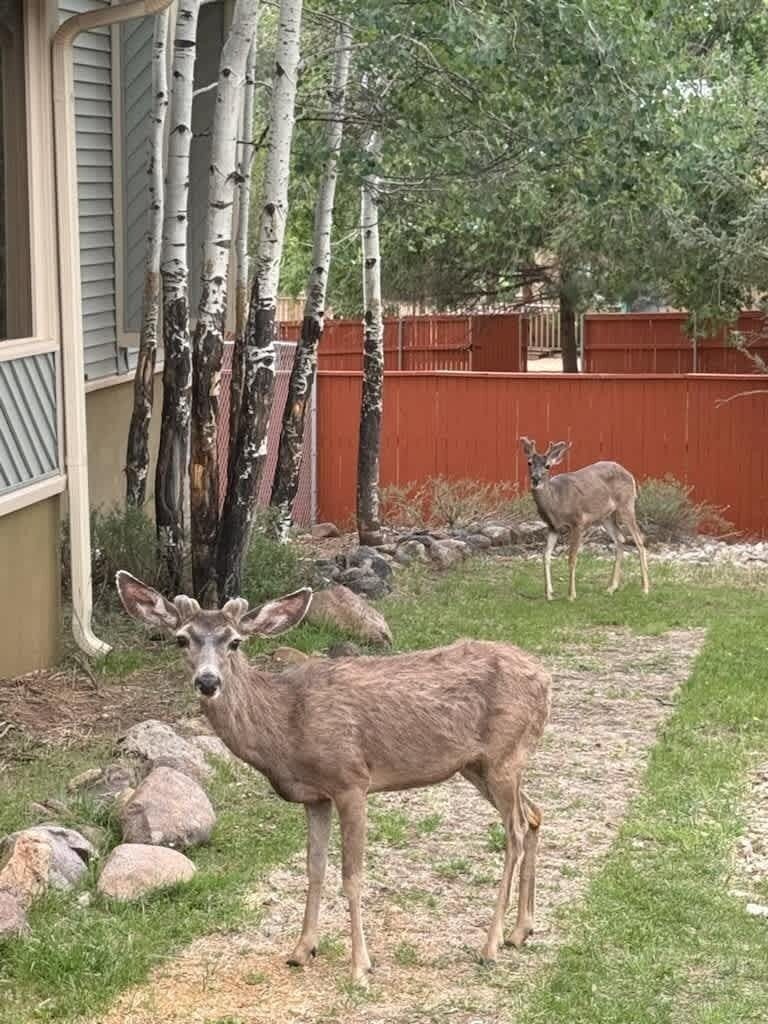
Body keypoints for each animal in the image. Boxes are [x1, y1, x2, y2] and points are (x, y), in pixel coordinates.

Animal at [116, 570, 551, 986]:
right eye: (181, 639)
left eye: (235, 642)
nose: (208, 682)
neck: (285, 725)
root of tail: (546, 679)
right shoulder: (315, 796)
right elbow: (315, 868)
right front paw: (302, 949)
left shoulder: (351, 780)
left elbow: (352, 876)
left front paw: (360, 967)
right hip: (479, 765)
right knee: (534, 813)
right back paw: (521, 931)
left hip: (502, 756)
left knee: (513, 831)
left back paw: (491, 944)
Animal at [520, 438, 650, 602]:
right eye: (529, 462)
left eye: (547, 466)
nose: (536, 479)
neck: (556, 502)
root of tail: (630, 474)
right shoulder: (553, 527)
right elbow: (546, 555)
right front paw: (549, 594)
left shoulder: (578, 522)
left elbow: (572, 558)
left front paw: (571, 595)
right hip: (606, 516)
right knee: (620, 539)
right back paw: (611, 587)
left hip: (626, 504)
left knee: (639, 540)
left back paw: (645, 588)